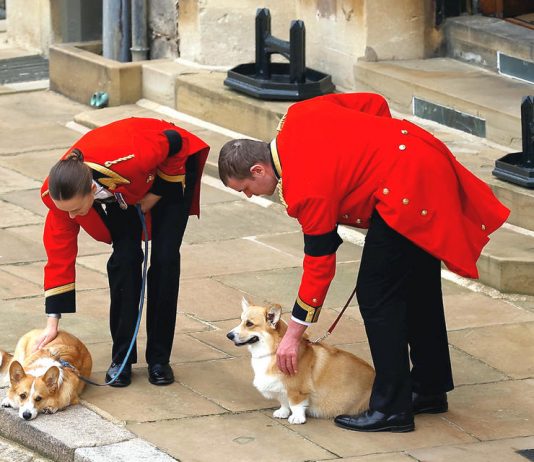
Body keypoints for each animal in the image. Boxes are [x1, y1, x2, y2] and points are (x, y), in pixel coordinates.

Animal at [227, 299, 375, 424]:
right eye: (241, 320)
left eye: (249, 324)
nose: (229, 335)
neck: (273, 351)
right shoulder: (280, 388)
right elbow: (284, 401)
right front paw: (283, 412)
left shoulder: (297, 390)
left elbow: (295, 404)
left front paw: (297, 418)